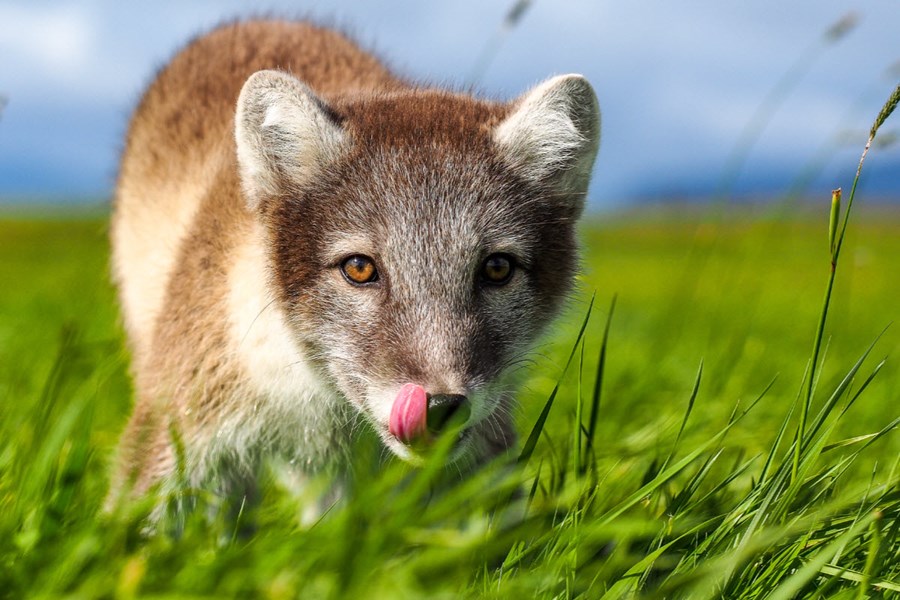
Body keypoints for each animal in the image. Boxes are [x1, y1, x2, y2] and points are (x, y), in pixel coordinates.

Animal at [109, 20, 600, 513]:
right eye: (359, 268)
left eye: (497, 268)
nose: (441, 406)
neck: (329, 411)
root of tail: (266, 19)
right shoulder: (178, 421)